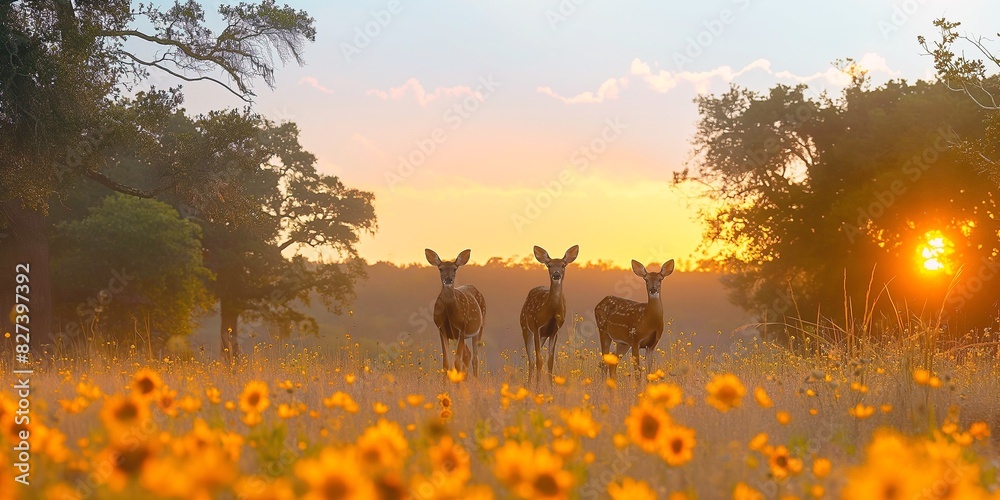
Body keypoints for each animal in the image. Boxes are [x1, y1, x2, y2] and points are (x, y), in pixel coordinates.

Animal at [424, 248, 486, 376]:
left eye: (455, 268)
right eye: (440, 268)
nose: (448, 280)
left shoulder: (461, 327)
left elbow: (457, 363)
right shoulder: (442, 329)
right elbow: (446, 363)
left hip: (479, 327)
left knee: (475, 358)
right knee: (468, 355)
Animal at [524, 246, 580, 382]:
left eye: (563, 265)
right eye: (549, 265)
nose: (556, 274)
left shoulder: (555, 330)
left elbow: (550, 362)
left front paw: (550, 386)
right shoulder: (537, 326)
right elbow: (539, 361)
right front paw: (537, 386)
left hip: (543, 336)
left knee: (533, 359)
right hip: (525, 327)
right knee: (531, 360)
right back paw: (528, 384)